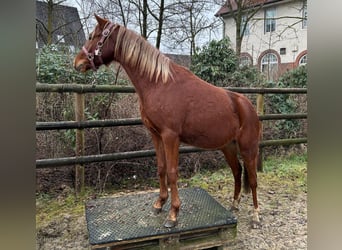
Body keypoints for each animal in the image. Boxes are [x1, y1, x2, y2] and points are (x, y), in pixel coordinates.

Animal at [73, 14, 262, 229]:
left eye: (92, 36)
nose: (77, 62)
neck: (158, 83)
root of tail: (248, 106)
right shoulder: (156, 135)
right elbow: (161, 168)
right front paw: (159, 203)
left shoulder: (170, 137)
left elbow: (172, 172)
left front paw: (173, 214)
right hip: (228, 147)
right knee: (237, 172)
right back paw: (235, 204)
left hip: (248, 149)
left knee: (253, 179)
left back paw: (256, 216)